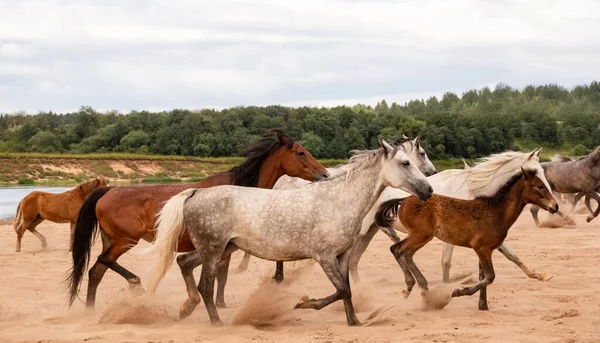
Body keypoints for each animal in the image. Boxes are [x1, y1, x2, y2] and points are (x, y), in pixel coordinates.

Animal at [145, 140, 434, 328]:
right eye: (406, 162)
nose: (429, 189)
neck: (338, 200)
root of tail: (196, 192)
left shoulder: (341, 256)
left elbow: (347, 291)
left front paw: (354, 322)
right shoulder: (324, 257)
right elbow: (341, 289)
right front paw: (304, 304)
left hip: (220, 248)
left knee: (184, 263)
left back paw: (186, 308)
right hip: (214, 250)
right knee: (205, 285)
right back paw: (216, 322)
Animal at [344, 150, 556, 284]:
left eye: (542, 171)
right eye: (535, 174)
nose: (554, 206)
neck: (473, 190)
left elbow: (512, 255)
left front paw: (538, 275)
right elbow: (446, 262)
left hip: (370, 231)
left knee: (353, 261)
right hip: (362, 231)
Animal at [376, 156, 556, 312]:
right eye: (540, 186)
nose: (555, 206)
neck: (496, 211)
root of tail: (405, 199)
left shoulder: (486, 250)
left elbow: (484, 276)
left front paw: (483, 305)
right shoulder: (482, 249)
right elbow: (490, 276)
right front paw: (458, 292)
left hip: (420, 236)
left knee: (407, 254)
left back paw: (423, 288)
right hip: (421, 235)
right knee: (397, 249)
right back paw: (410, 287)